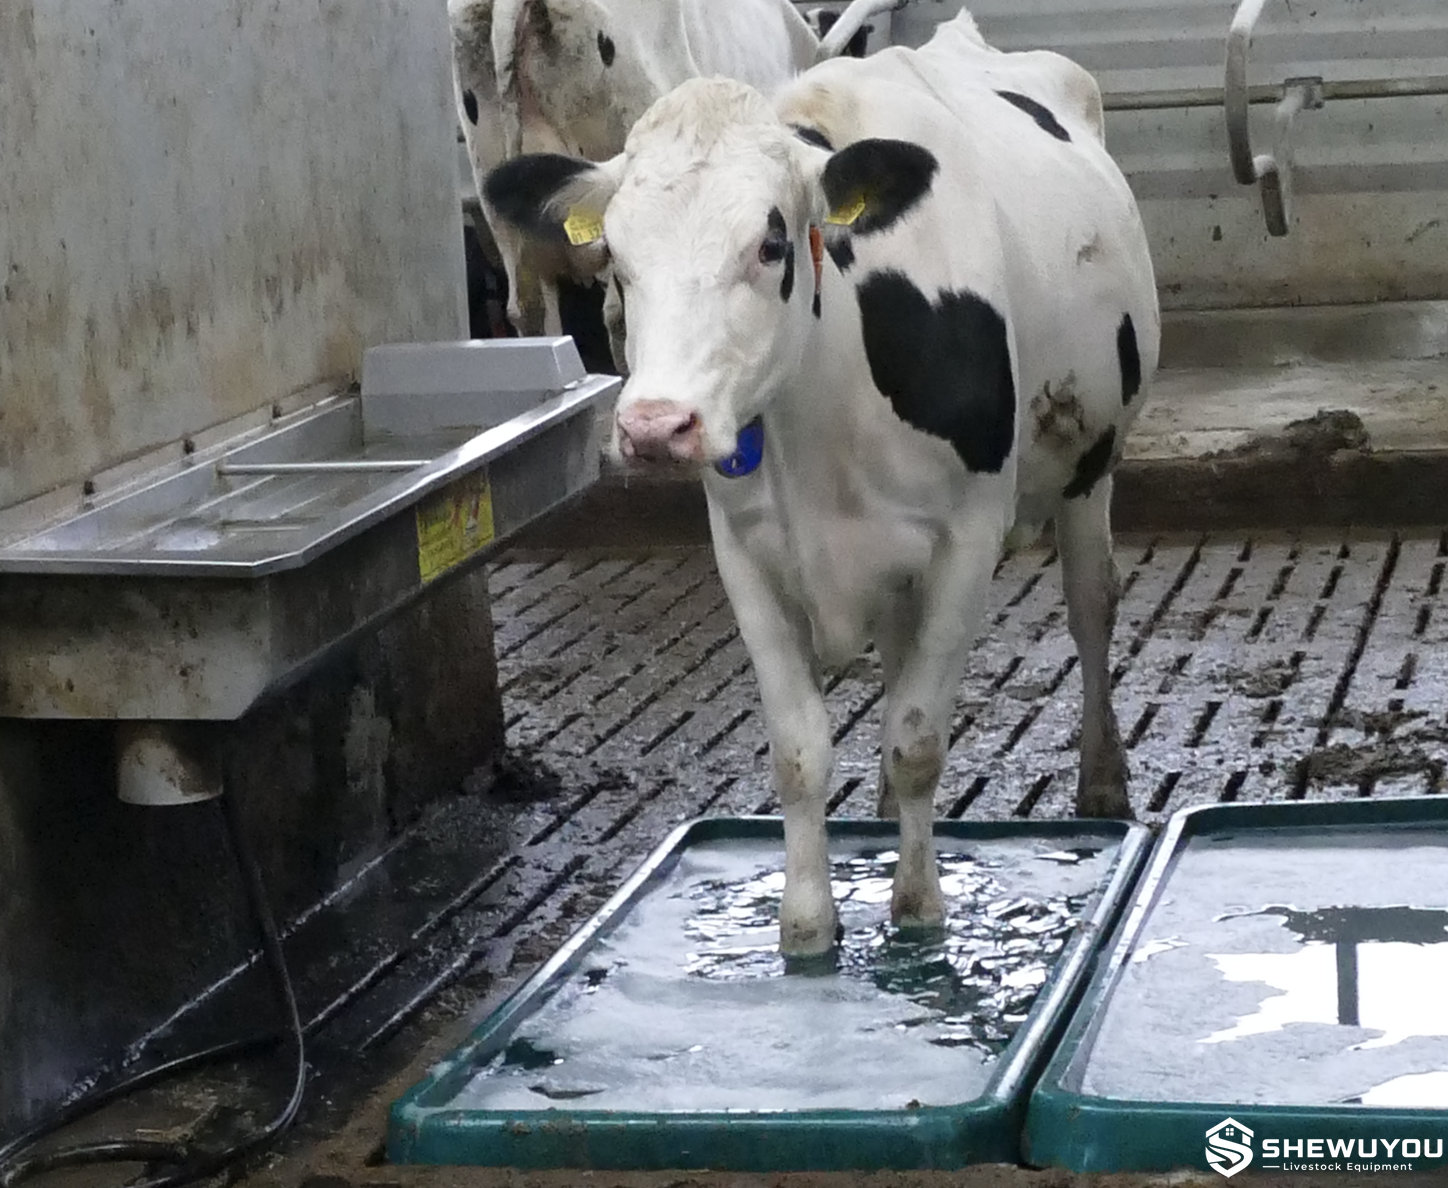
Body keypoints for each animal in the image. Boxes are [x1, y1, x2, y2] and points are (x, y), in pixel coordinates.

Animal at [483, 8, 1160, 957]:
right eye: (614, 252)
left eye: (770, 242)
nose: (655, 425)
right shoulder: (744, 552)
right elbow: (801, 751)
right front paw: (806, 933)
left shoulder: (967, 538)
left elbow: (917, 740)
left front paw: (919, 914)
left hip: (1091, 462)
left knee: (1091, 607)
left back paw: (1103, 781)